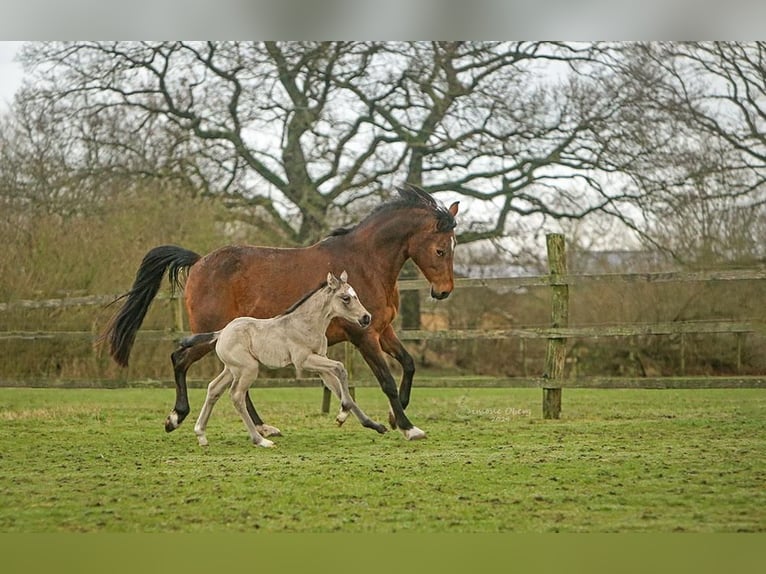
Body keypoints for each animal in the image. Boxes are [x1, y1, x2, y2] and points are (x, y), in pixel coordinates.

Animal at [187, 272, 390, 450]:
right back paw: (261, 440)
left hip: (231, 370)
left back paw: (201, 435)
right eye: (346, 298)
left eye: (355, 296)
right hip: (248, 369)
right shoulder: (304, 361)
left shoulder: (321, 365)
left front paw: (375, 425)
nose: (366, 318)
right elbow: (341, 368)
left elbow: (339, 387)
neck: (306, 324)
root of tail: (221, 333)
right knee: (237, 396)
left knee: (214, 389)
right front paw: (342, 414)